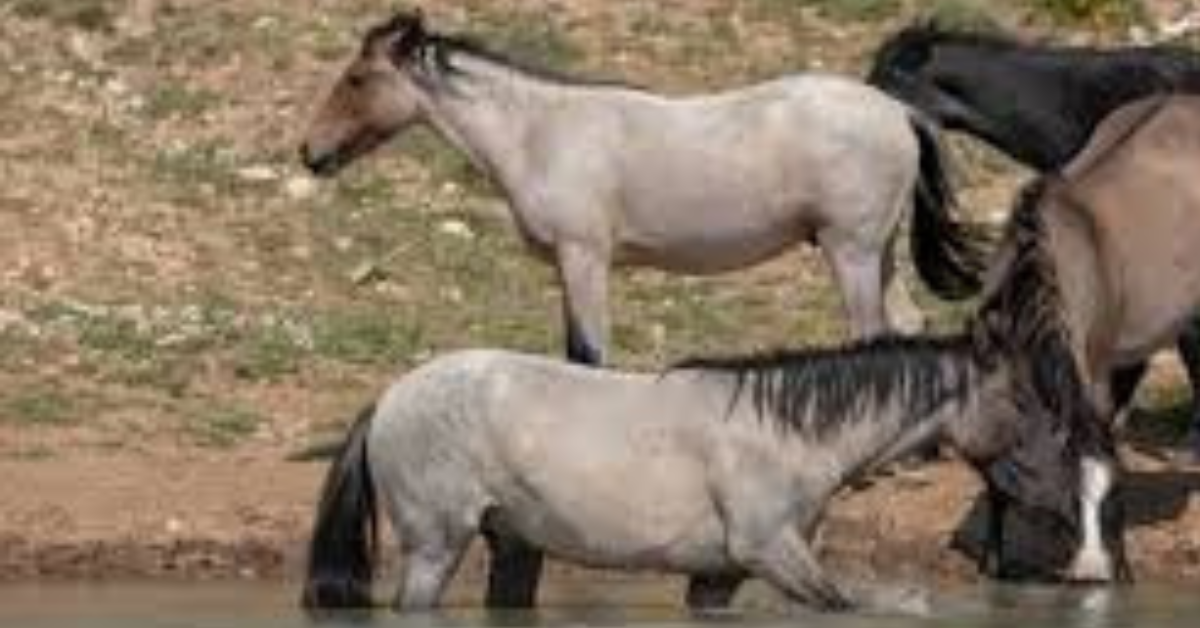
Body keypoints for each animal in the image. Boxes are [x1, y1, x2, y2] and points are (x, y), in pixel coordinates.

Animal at [300, 9, 984, 365]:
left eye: (358, 78)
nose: (311, 153)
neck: (541, 130)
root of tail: (897, 111)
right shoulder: (569, 265)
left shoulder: (584, 258)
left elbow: (589, 352)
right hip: (876, 252)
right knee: (905, 327)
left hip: (852, 253)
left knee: (869, 335)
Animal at [302, 333, 1089, 614]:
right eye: (1023, 400)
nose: (1066, 500)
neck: (786, 434)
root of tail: (390, 398)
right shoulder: (771, 553)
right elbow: (845, 603)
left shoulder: (720, 576)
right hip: (435, 548)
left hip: (515, 547)